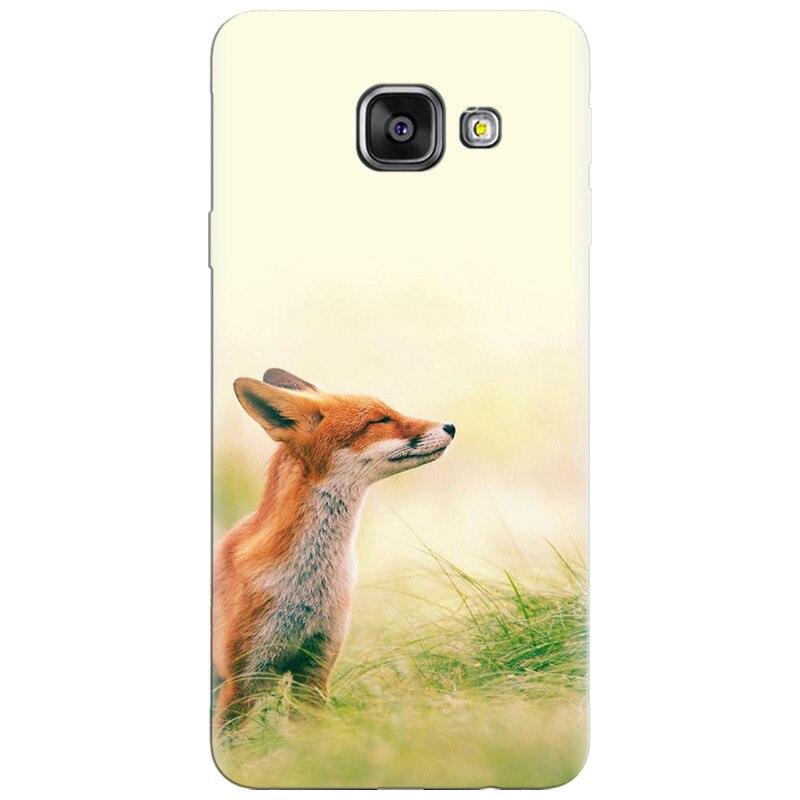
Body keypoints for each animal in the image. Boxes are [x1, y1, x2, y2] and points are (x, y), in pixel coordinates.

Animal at [213, 368, 455, 730]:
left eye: (390, 411)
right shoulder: (240, 681)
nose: (451, 427)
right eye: (380, 420)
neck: (308, 586)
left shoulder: (315, 668)